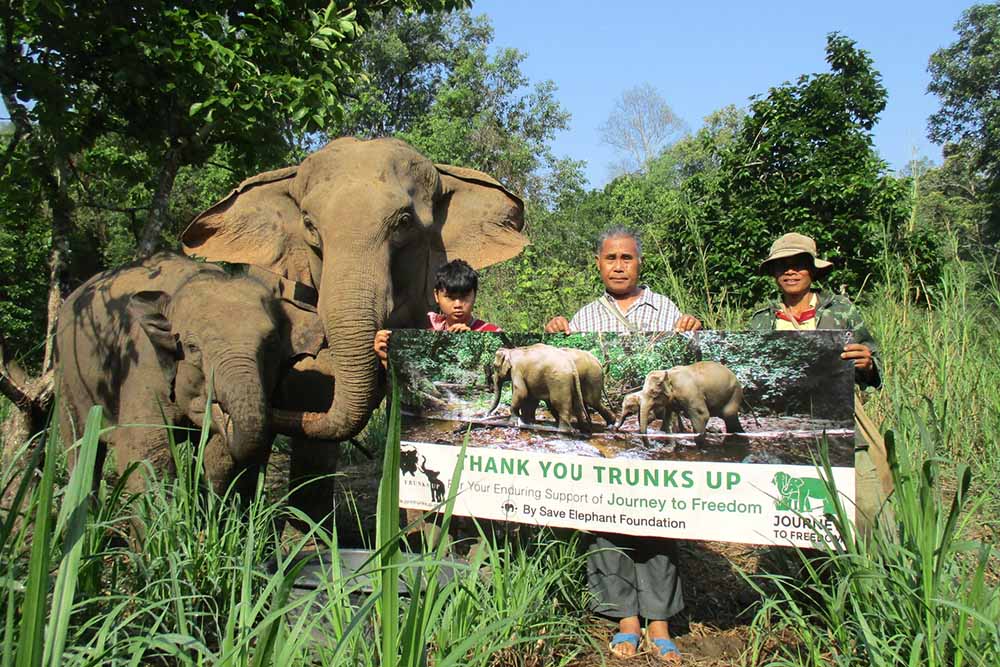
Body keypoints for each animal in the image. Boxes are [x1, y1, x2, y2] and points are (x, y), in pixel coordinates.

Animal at [55, 253, 320, 498]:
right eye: (192, 347)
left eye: (271, 344)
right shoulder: (144, 365)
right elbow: (143, 451)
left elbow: (218, 457)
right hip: (66, 376)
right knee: (79, 445)